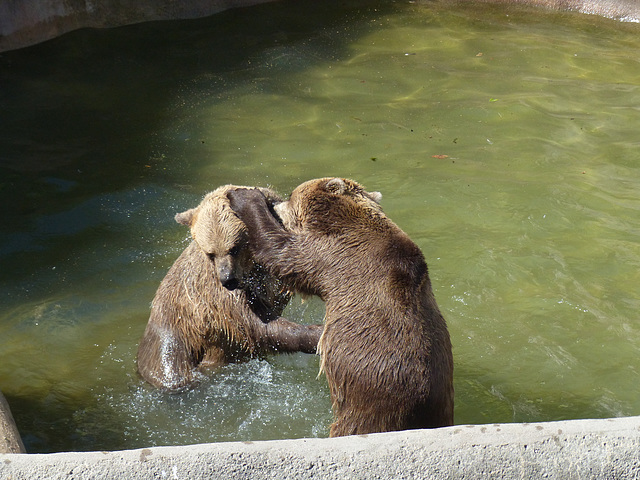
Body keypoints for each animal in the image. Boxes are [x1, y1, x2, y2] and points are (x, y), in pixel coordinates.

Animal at [137, 185, 322, 394]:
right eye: (210, 253)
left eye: (235, 248)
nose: (228, 278)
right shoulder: (219, 299)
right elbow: (258, 325)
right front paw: (316, 333)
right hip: (173, 342)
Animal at [228, 178, 452, 436]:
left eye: (291, 195)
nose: (274, 203)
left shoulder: (331, 253)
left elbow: (280, 252)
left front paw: (243, 196)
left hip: (372, 402)